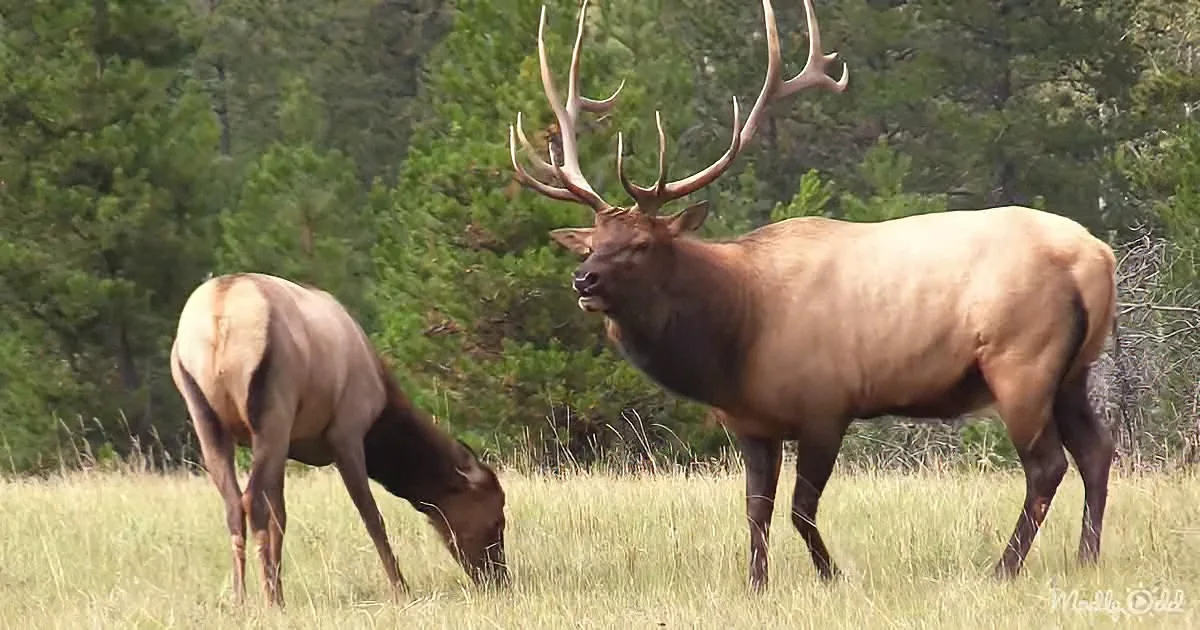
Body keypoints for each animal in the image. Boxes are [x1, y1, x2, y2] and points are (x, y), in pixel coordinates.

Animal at [169, 272, 509, 607]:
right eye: (496, 518)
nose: (498, 579)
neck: (382, 410)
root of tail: (219, 316)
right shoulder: (346, 433)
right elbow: (372, 517)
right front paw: (401, 589)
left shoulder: (290, 443)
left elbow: (281, 514)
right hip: (273, 408)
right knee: (252, 499)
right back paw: (269, 600)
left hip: (205, 415)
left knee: (233, 505)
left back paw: (242, 600)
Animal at [506, 0, 1118, 590]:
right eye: (591, 243)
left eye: (640, 244)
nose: (583, 281)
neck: (735, 339)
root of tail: (1098, 257)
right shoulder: (751, 422)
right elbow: (756, 509)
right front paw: (757, 584)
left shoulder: (827, 404)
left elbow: (801, 508)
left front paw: (833, 575)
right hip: (1072, 370)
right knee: (1097, 449)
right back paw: (1086, 557)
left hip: (1022, 360)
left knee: (1046, 465)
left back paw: (1004, 568)